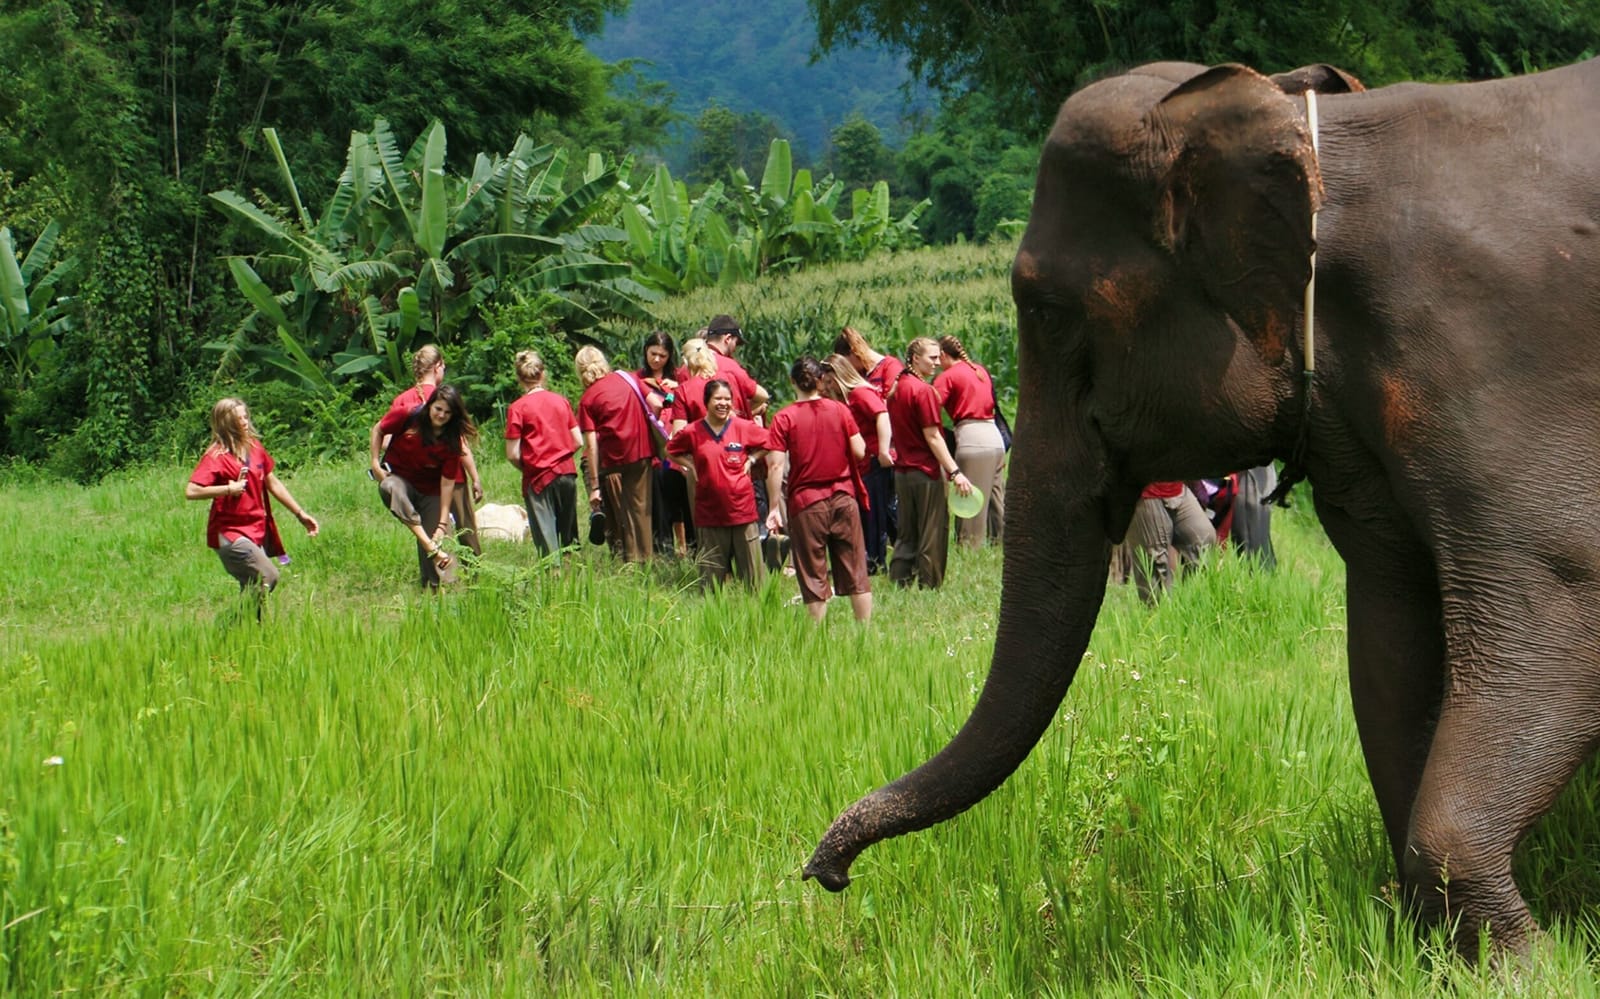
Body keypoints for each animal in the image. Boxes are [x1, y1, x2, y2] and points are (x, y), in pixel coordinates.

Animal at [804, 56, 1600, 957]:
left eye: (1045, 311)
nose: (826, 873)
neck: (1311, 134)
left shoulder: (1500, 364)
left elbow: (1558, 608)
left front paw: (1525, 962)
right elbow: (1391, 636)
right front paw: (1428, 944)